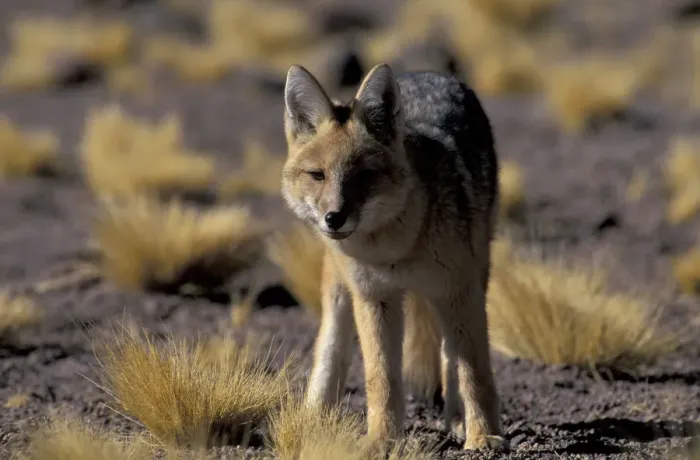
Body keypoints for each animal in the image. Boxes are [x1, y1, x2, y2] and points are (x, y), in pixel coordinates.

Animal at [280, 62, 508, 451]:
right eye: (318, 175)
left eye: (363, 176)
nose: (334, 218)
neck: (396, 250)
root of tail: (423, 71)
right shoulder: (375, 297)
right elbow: (381, 376)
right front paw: (382, 439)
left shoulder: (458, 292)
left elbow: (474, 372)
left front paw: (483, 436)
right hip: (340, 291)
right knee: (331, 345)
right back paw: (313, 417)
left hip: (475, 275)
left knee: (450, 354)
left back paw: (457, 419)